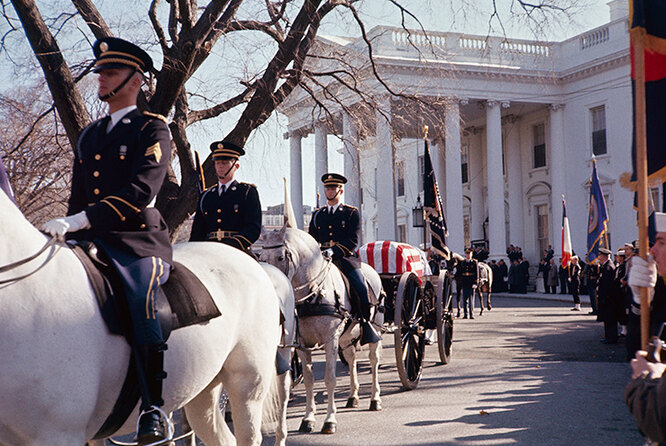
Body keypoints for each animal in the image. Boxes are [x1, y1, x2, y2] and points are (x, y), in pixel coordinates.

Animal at [260, 225, 384, 434]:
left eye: (281, 257)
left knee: (374, 360)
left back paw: (375, 399)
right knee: (351, 359)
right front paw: (308, 418)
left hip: (374, 328)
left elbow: (330, 378)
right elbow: (309, 379)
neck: (314, 292)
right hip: (346, 337)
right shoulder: (302, 344)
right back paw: (353, 396)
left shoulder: (330, 339)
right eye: (260, 256)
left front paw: (329, 420)